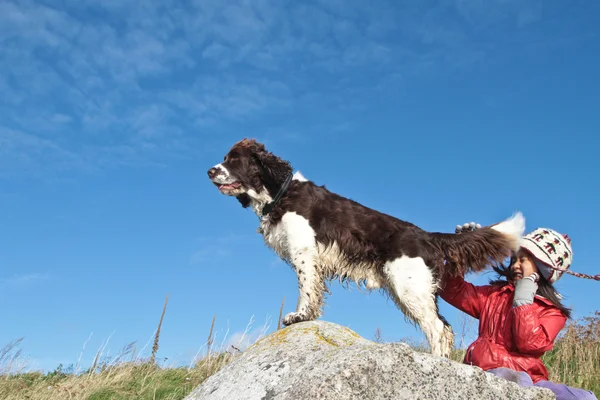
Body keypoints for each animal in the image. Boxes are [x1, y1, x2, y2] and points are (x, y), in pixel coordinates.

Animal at [207, 139, 524, 358]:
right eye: (224, 158)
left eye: (234, 160)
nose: (210, 171)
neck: (281, 193)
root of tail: (428, 236)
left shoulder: (303, 251)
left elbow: (306, 289)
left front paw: (299, 316)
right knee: (443, 327)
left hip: (408, 287)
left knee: (437, 328)